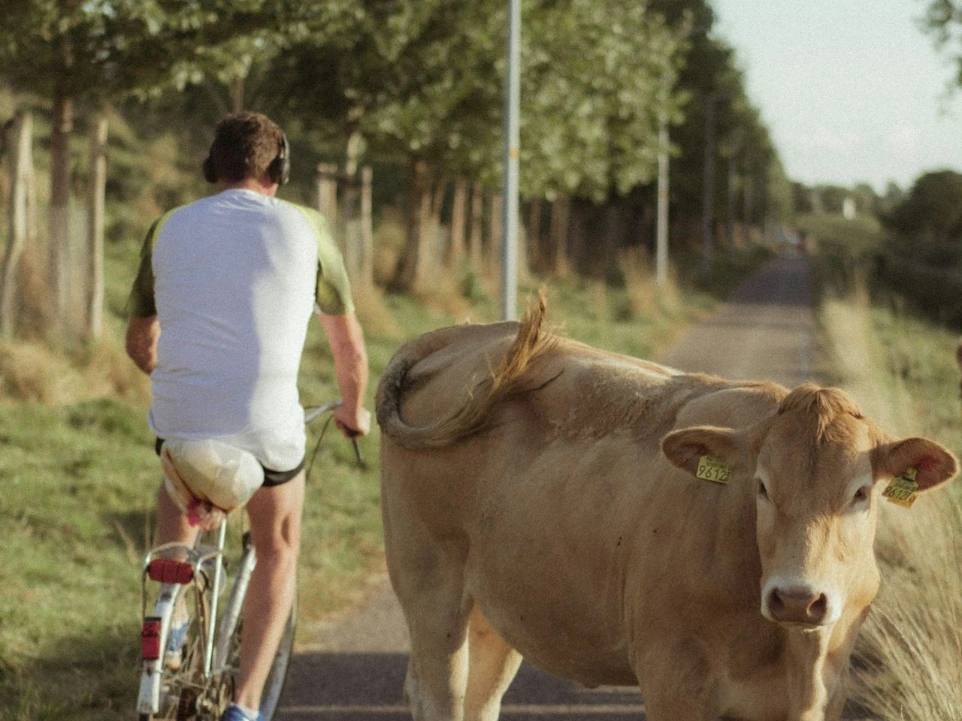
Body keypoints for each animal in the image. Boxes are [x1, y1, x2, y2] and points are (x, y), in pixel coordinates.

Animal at [376, 299, 958, 721]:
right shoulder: (672, 682)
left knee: (480, 697)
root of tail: (469, 334)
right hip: (431, 589)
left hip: (496, 608)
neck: (796, 657)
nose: (797, 598)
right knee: (439, 694)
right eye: (762, 486)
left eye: (861, 493)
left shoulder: (824, 694)